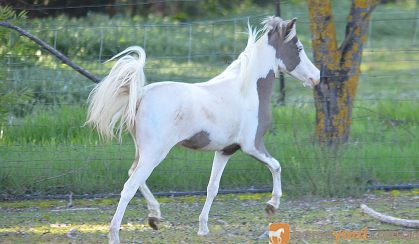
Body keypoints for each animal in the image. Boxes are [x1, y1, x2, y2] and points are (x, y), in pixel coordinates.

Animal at [87, 16, 320, 243]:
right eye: (299, 47)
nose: (316, 76)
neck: (246, 90)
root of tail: (141, 94)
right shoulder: (252, 145)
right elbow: (276, 166)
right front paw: (271, 205)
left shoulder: (225, 150)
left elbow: (212, 187)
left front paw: (203, 228)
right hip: (154, 153)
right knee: (130, 186)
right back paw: (115, 233)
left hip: (143, 152)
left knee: (134, 176)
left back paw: (154, 217)